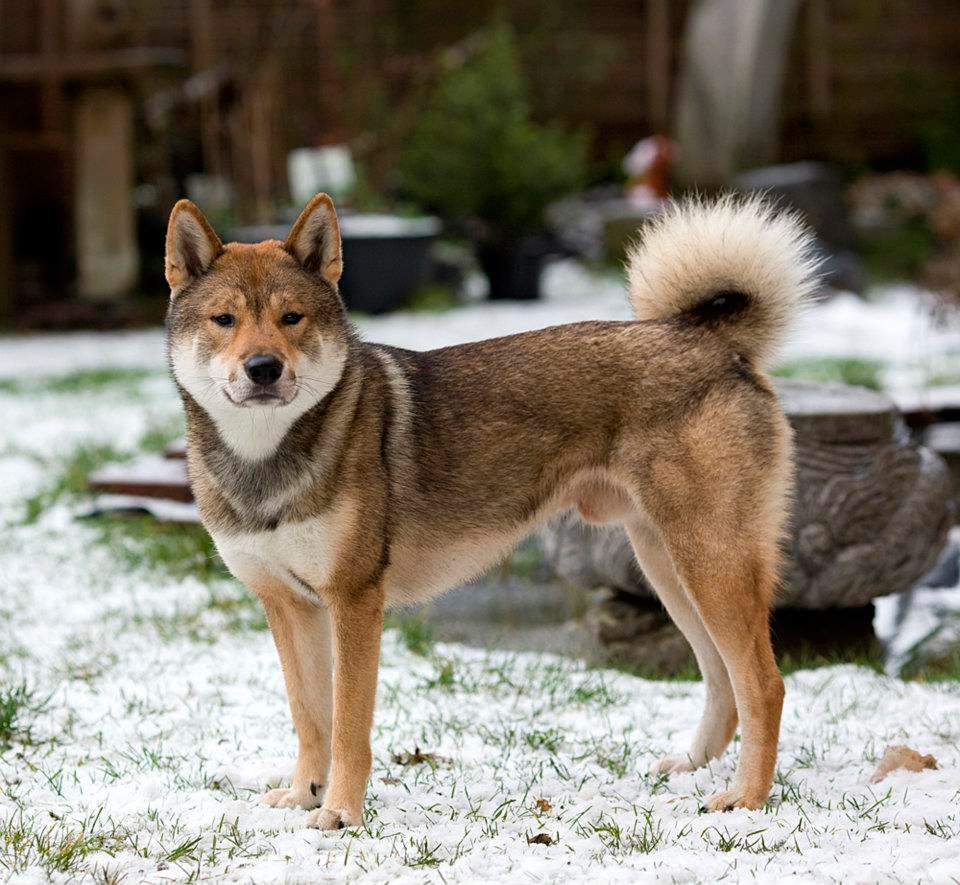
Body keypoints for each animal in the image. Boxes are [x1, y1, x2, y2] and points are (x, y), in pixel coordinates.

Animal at [163, 193, 816, 828]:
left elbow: (348, 726)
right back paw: (691, 768)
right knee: (722, 681)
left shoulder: (354, 602)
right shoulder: (288, 606)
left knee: (764, 686)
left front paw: (340, 812)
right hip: (670, 569)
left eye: (291, 318)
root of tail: (711, 341)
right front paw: (304, 796)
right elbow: (310, 717)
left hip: (709, 565)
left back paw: (746, 801)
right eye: (224, 320)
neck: (265, 457)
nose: (263, 368)